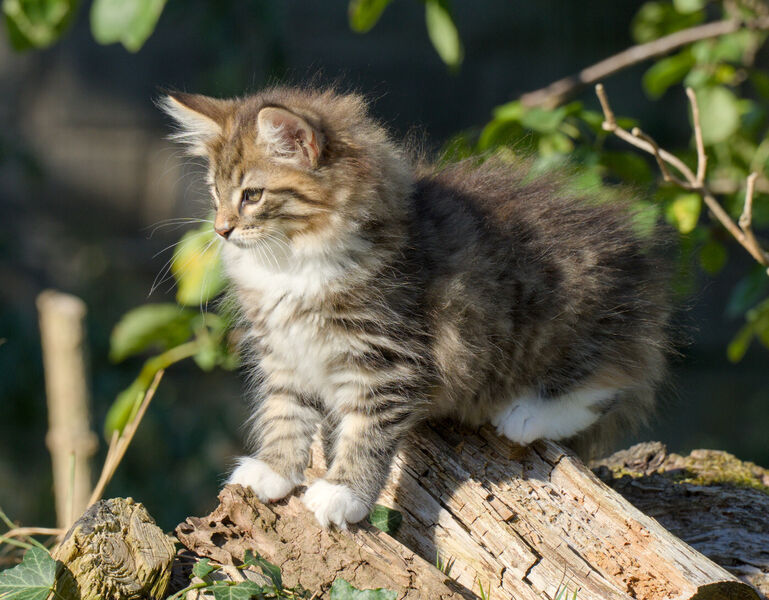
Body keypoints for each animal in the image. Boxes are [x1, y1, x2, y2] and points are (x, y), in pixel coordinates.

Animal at [160, 85, 664, 528]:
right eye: (215, 194)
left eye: (252, 196)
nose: (221, 230)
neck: (293, 262)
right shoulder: (285, 352)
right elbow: (285, 412)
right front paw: (274, 470)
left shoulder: (387, 359)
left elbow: (365, 432)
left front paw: (344, 493)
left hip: (567, 319)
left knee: (613, 381)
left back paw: (526, 415)